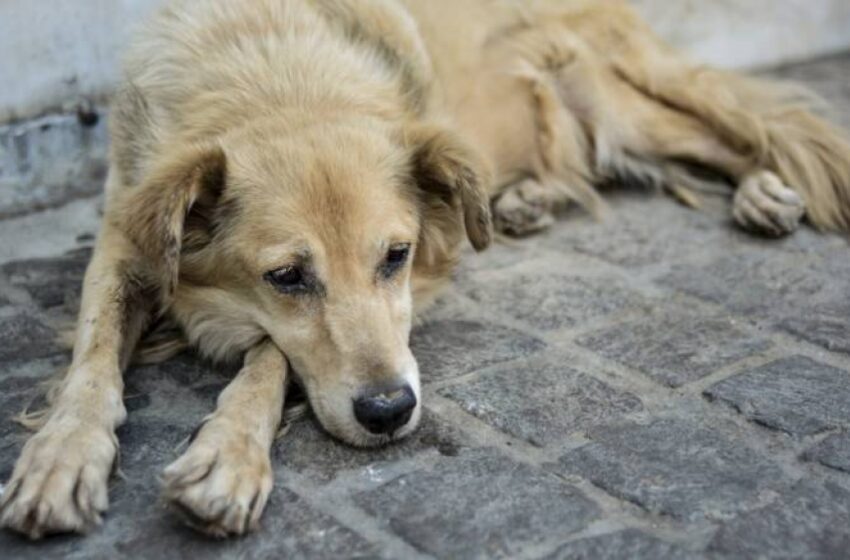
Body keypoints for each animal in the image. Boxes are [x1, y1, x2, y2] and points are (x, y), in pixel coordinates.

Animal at [1, 0, 848, 544]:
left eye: (396, 256)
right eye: (287, 277)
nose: (388, 412)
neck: (272, 71)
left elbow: (271, 358)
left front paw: (226, 457)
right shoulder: (124, 237)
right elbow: (93, 361)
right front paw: (62, 458)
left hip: (620, 102)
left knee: (742, 136)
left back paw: (766, 191)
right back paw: (527, 200)